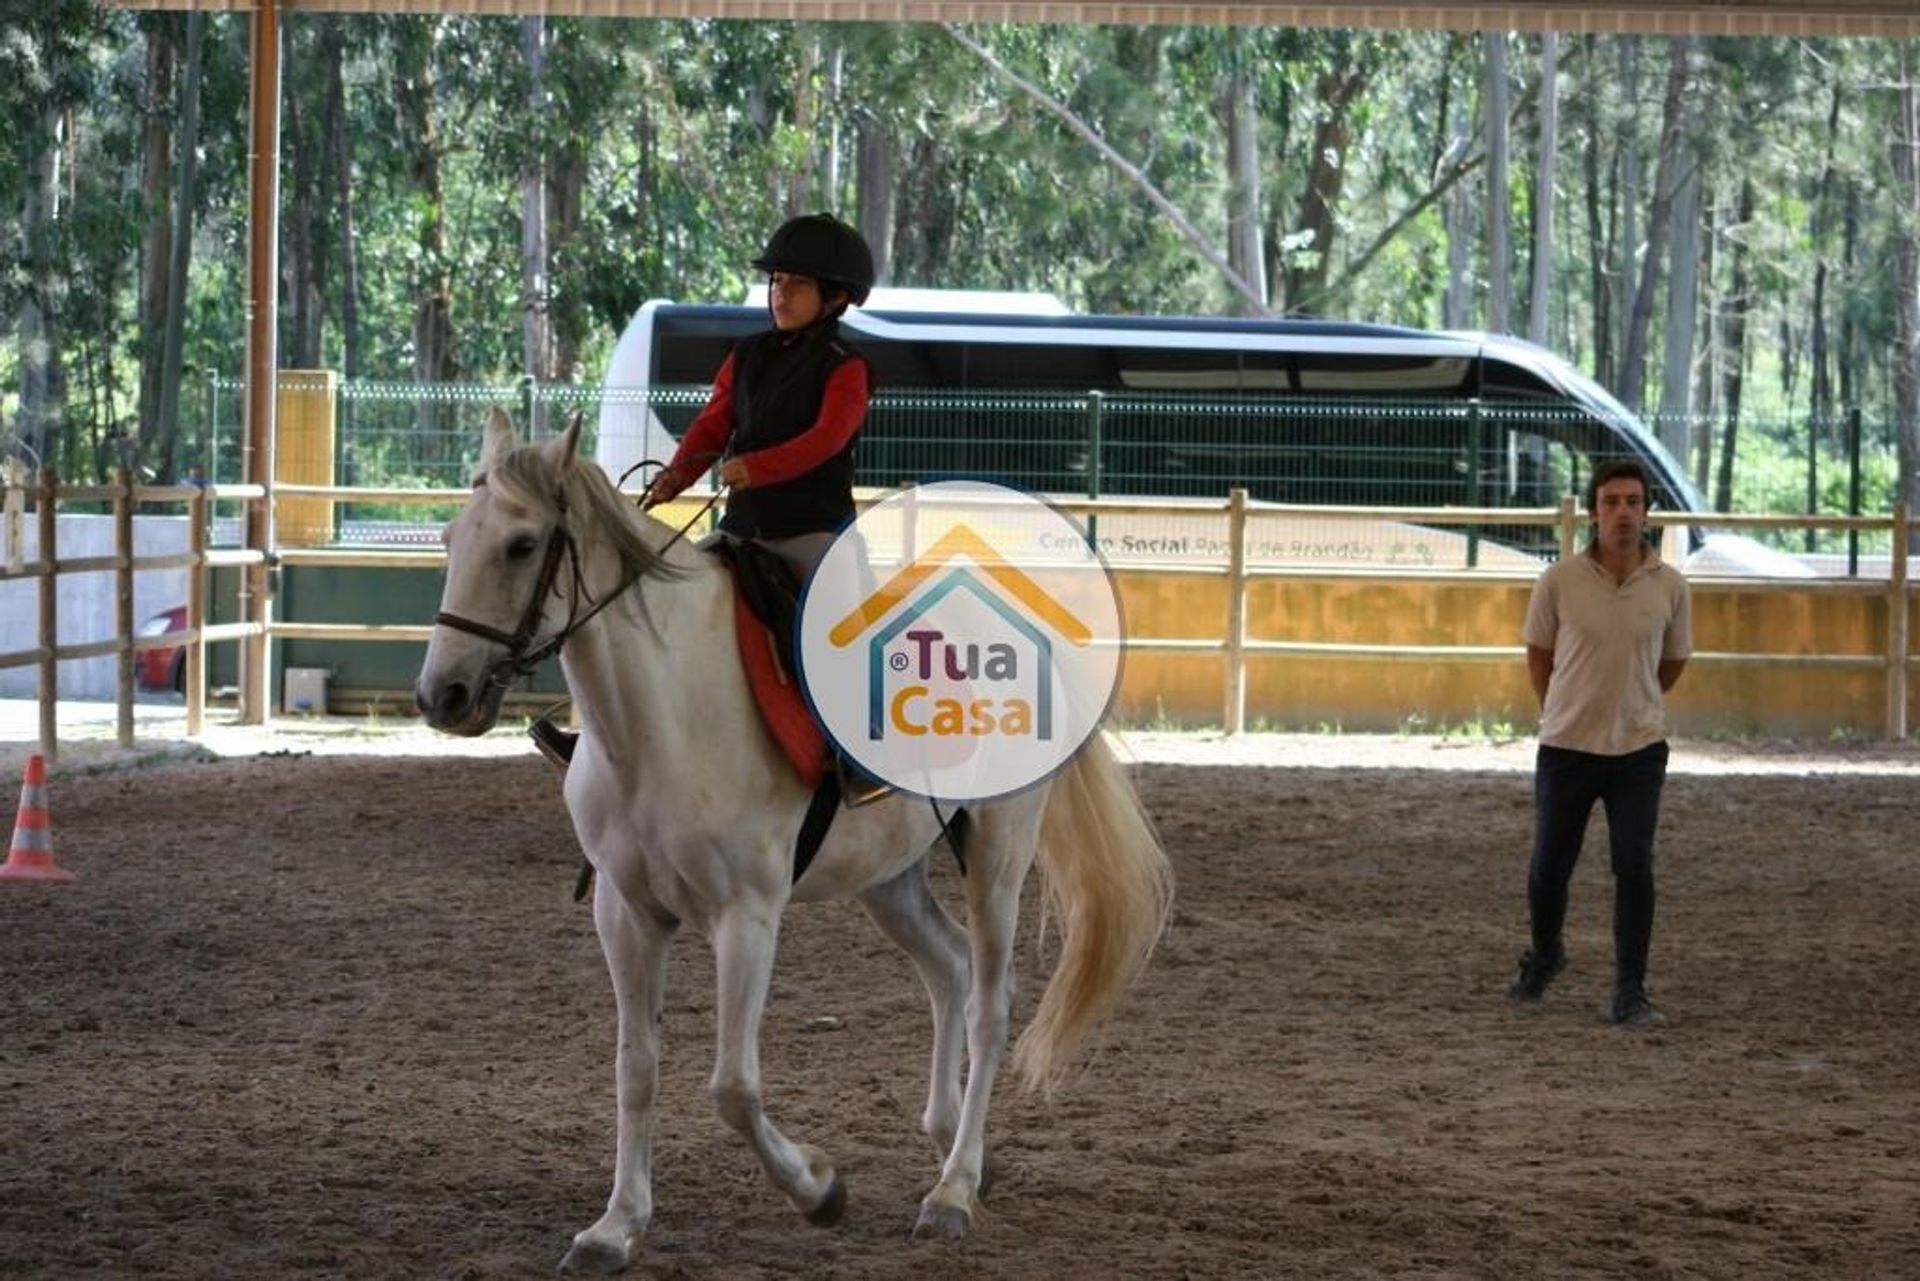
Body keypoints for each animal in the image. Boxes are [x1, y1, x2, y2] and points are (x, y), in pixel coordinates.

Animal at [412, 416, 1175, 1275]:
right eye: (452, 539)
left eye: (520, 544)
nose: (442, 696)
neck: (661, 715)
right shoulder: (625, 911)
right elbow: (636, 1067)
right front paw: (616, 1226)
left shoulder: (747, 916)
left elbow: (732, 1086)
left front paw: (818, 1188)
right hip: (888, 875)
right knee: (947, 965)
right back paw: (954, 1145)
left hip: (999, 857)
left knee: (990, 1002)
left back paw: (951, 1191)